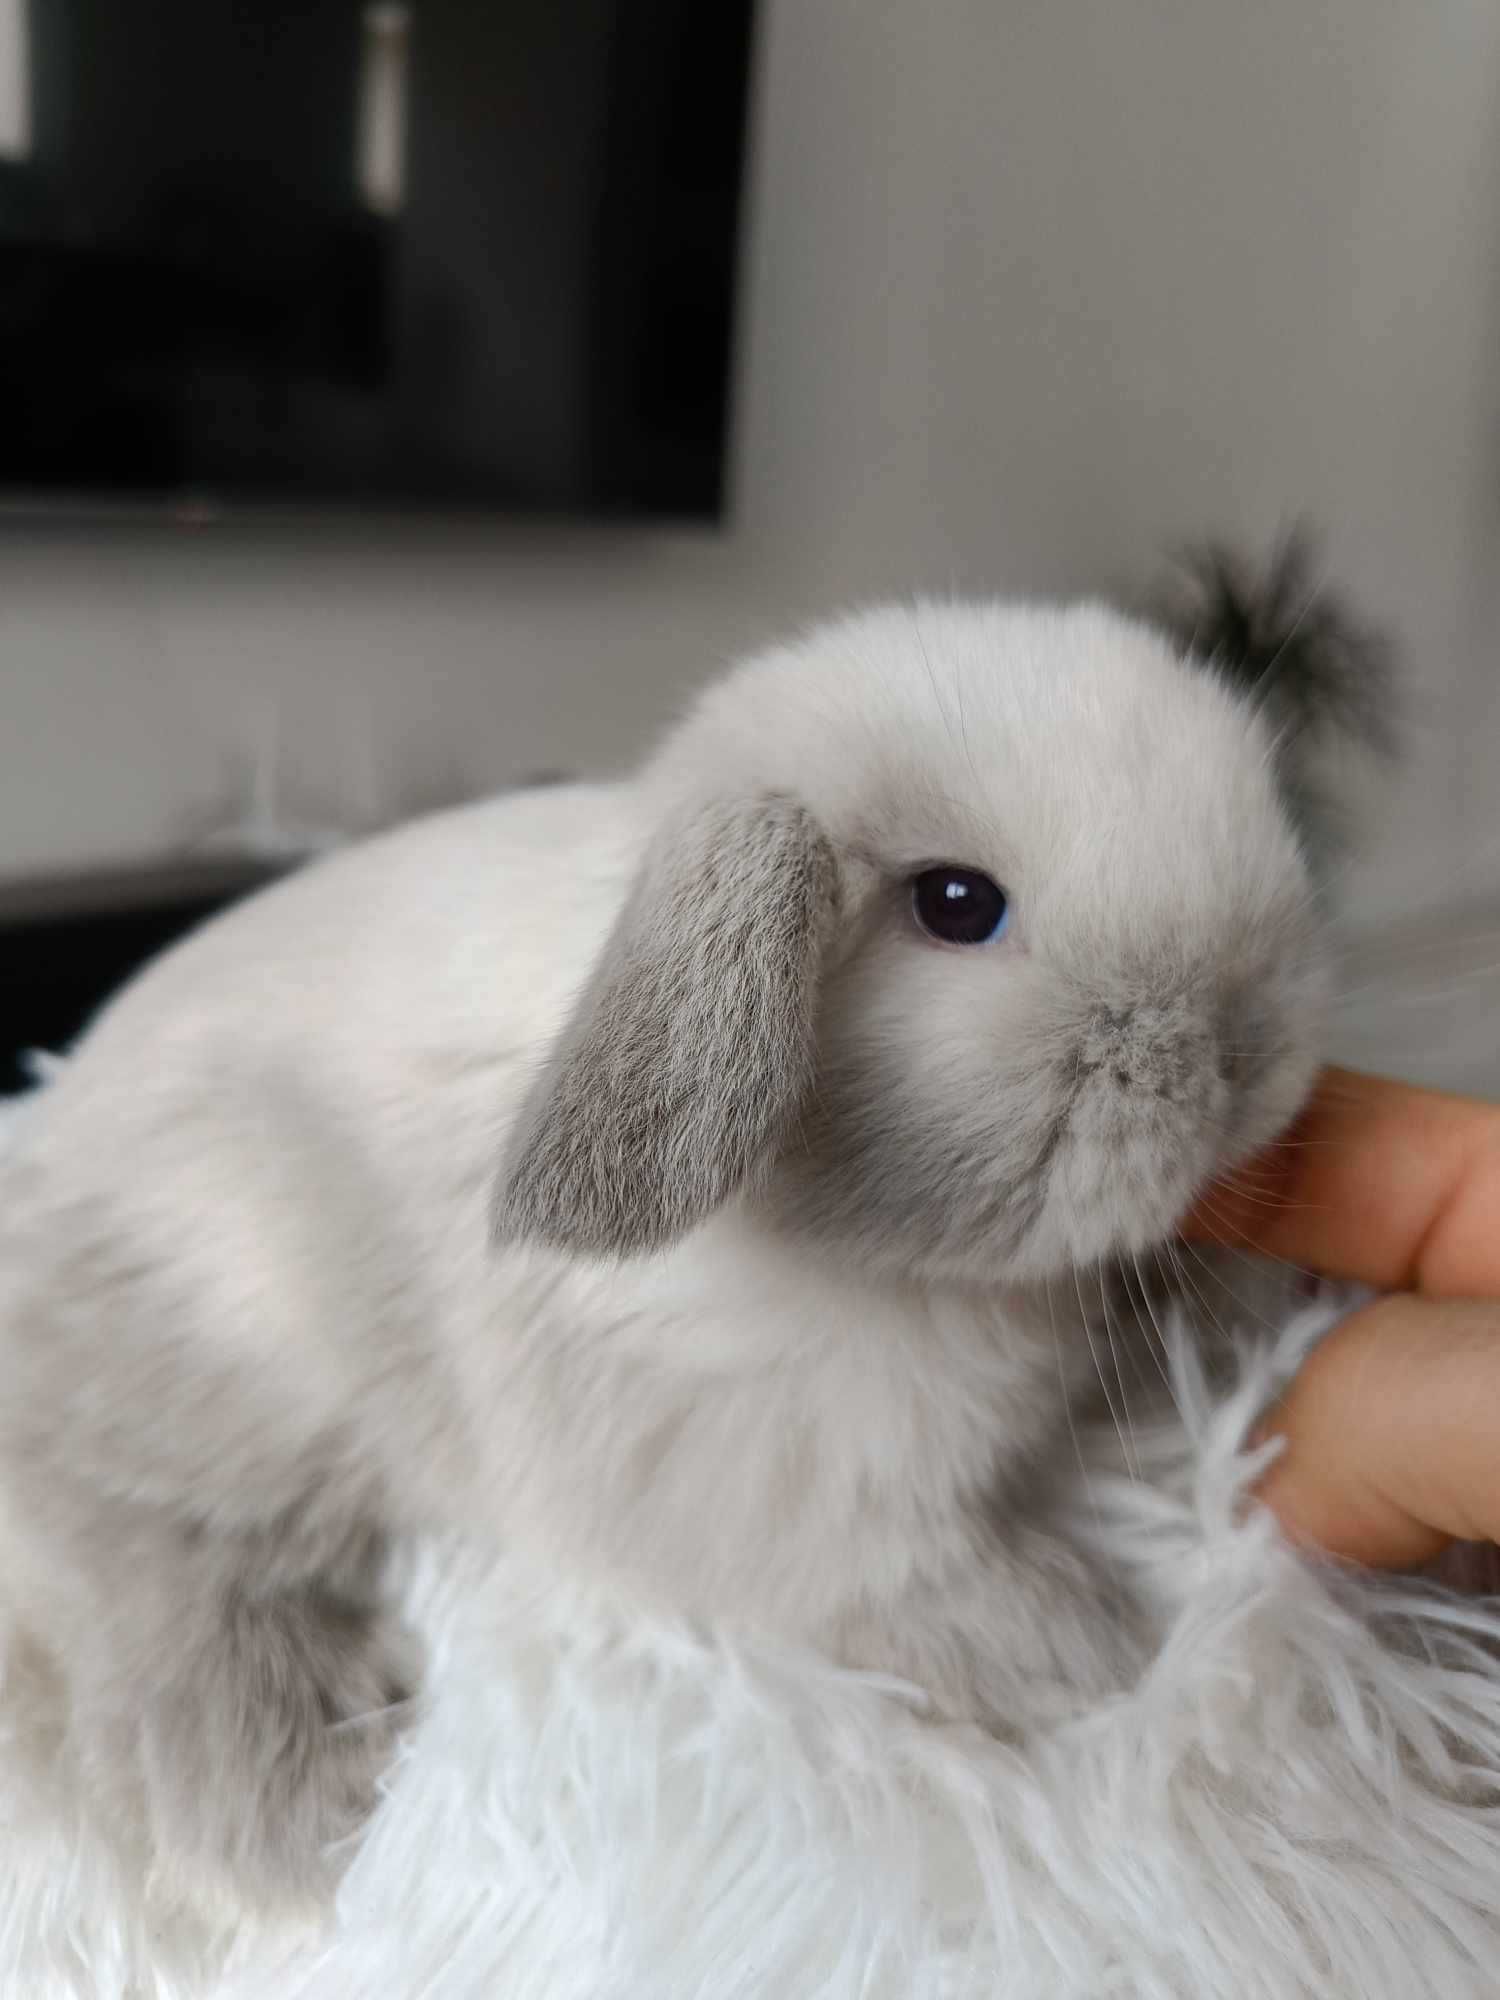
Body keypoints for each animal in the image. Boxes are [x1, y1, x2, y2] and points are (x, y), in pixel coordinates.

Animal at [0, 540, 1392, 1912]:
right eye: (956, 903)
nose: (1247, 1050)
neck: (890, 1265)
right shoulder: (794, 1484)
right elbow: (909, 1572)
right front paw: (1091, 1641)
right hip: (222, 1344)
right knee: (133, 1548)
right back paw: (299, 1806)